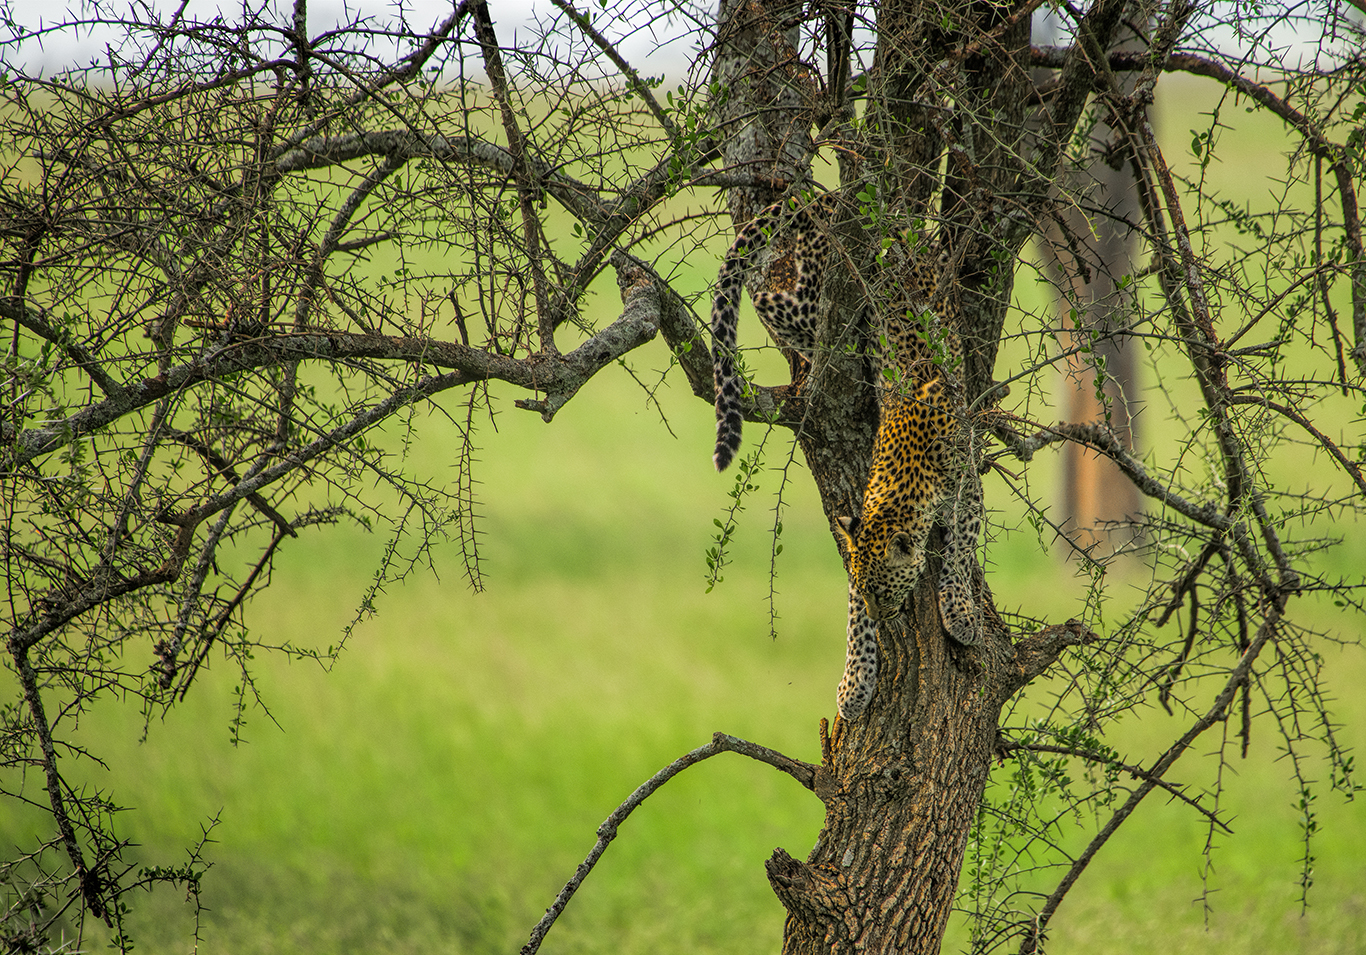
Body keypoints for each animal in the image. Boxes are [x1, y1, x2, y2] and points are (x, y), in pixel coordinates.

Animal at [708, 193, 982, 725]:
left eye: (884, 590)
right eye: (866, 591)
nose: (884, 614)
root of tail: (822, 196)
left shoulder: (970, 482)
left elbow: (961, 545)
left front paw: (959, 610)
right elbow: (853, 621)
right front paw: (856, 681)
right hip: (806, 296)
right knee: (774, 303)